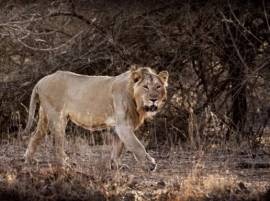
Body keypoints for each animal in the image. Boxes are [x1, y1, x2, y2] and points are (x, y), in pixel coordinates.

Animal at [24, 65, 170, 171]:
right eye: (145, 87)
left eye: (158, 86)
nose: (153, 99)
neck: (136, 100)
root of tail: (41, 80)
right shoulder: (123, 126)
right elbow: (137, 146)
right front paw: (150, 165)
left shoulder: (117, 127)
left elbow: (118, 147)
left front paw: (116, 165)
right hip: (57, 117)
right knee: (57, 143)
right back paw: (64, 163)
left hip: (44, 117)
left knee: (35, 136)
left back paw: (29, 159)